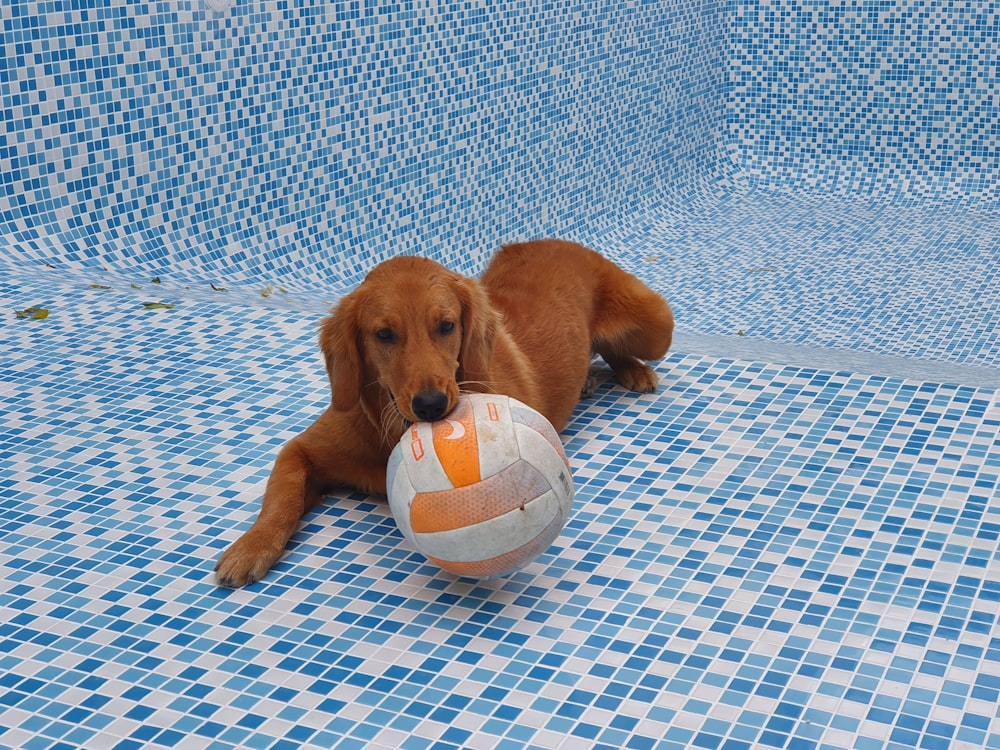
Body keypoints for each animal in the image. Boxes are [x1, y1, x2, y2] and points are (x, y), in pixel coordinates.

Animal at [215, 241, 676, 588]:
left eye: (447, 326)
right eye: (384, 334)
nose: (432, 405)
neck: (388, 430)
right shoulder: (302, 449)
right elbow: (283, 496)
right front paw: (251, 546)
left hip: (657, 324)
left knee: (616, 347)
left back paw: (632, 370)